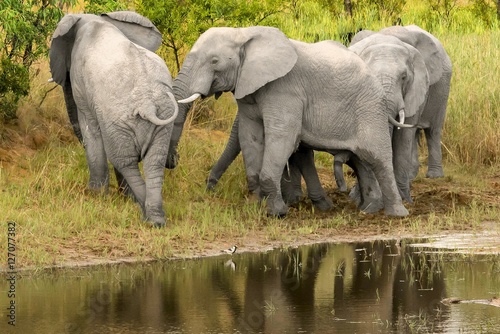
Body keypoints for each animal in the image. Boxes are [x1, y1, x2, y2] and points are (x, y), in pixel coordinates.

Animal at [49, 12, 180, 227]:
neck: (95, 20)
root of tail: (147, 104)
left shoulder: (81, 83)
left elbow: (90, 127)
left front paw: (95, 194)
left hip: (117, 118)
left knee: (124, 161)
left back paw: (143, 210)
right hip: (162, 117)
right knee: (153, 162)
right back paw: (155, 219)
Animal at [168, 25, 410, 217]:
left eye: (214, 61)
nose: (174, 160)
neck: (244, 33)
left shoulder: (285, 90)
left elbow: (283, 137)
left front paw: (277, 213)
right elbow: (250, 136)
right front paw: (258, 207)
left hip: (369, 108)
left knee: (377, 157)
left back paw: (396, 214)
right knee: (360, 160)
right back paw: (369, 209)